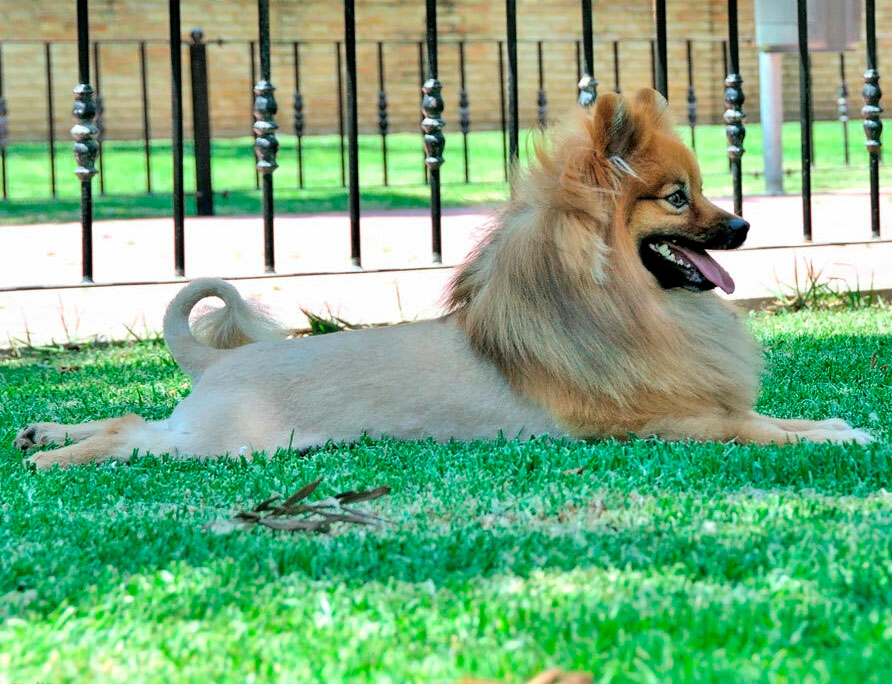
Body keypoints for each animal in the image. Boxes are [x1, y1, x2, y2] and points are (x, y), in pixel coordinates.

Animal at [13, 88, 872, 468]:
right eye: (679, 198)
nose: (744, 227)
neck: (623, 309)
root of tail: (222, 362)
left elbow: (785, 419)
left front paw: (836, 426)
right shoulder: (673, 425)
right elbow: (760, 429)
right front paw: (836, 434)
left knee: (132, 419)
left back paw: (45, 432)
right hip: (223, 443)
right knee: (131, 435)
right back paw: (56, 458)